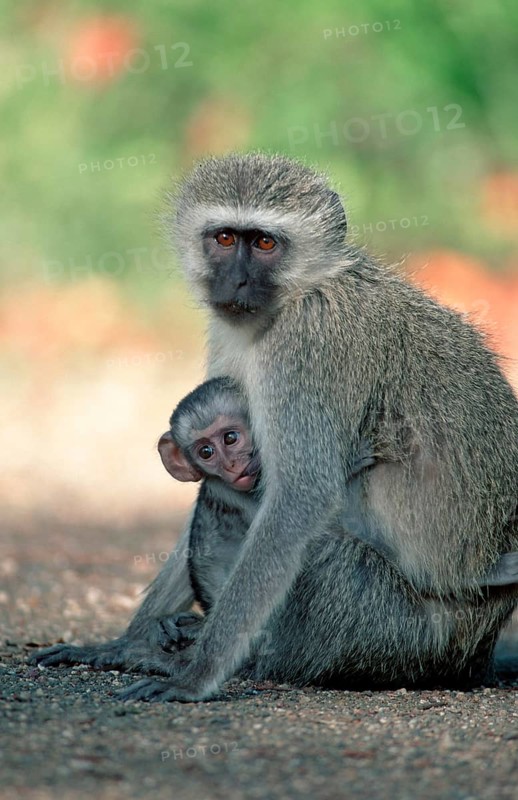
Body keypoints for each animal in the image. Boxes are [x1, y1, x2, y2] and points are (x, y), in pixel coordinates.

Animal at [31, 154, 518, 701]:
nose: (237, 283)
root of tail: (477, 652)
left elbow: (299, 498)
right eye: (224, 238)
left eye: (264, 243)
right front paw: (119, 643)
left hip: (394, 632)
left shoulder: (305, 344)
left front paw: (195, 676)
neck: (303, 292)